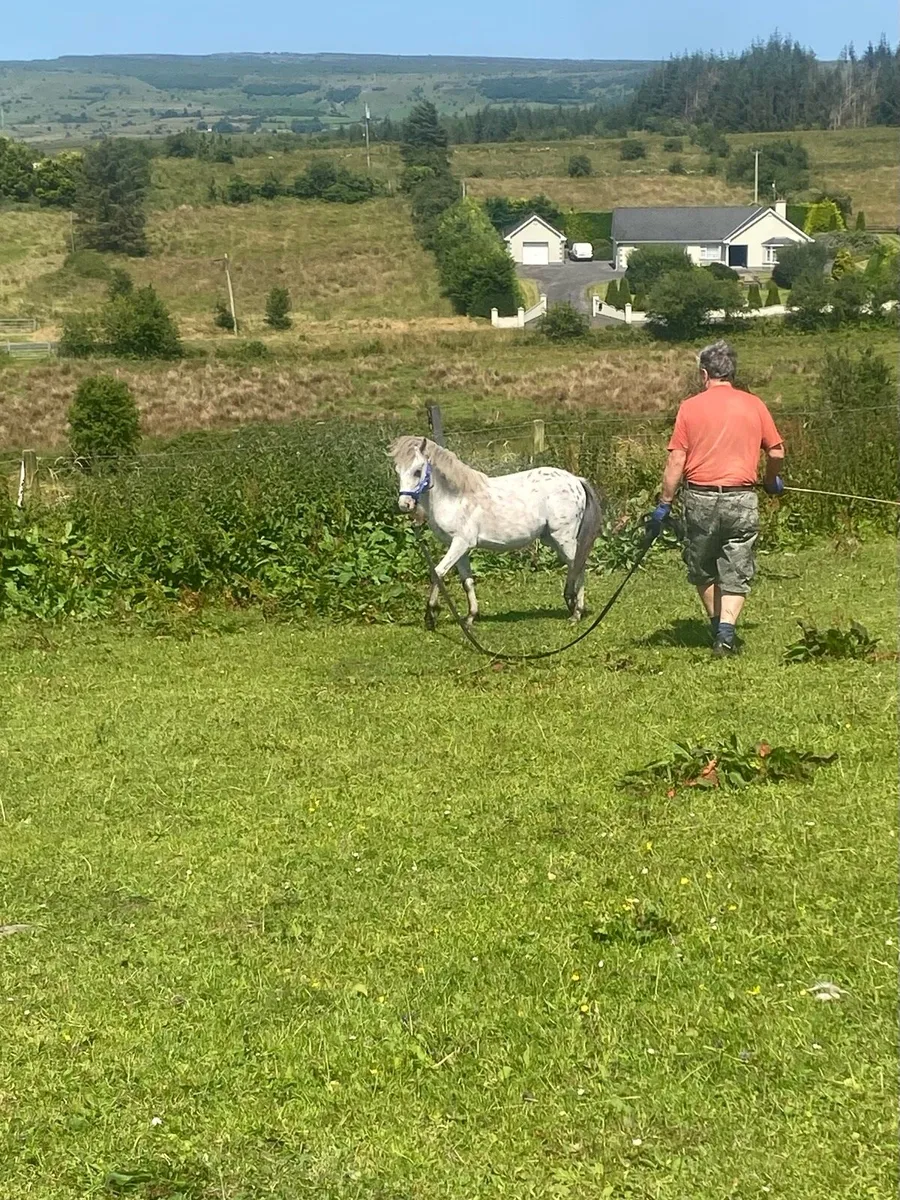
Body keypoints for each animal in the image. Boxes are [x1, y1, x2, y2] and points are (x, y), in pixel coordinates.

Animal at [390, 436, 603, 631]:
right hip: (552, 539)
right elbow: (467, 581)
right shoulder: (460, 548)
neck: (456, 497)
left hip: (564, 538)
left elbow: (437, 573)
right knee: (574, 566)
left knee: (579, 566)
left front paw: (430, 617)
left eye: (418, 471)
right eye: (398, 471)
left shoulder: (460, 543)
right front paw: (470, 618)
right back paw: (572, 605)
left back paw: (576, 613)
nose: (404, 505)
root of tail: (576, 481)